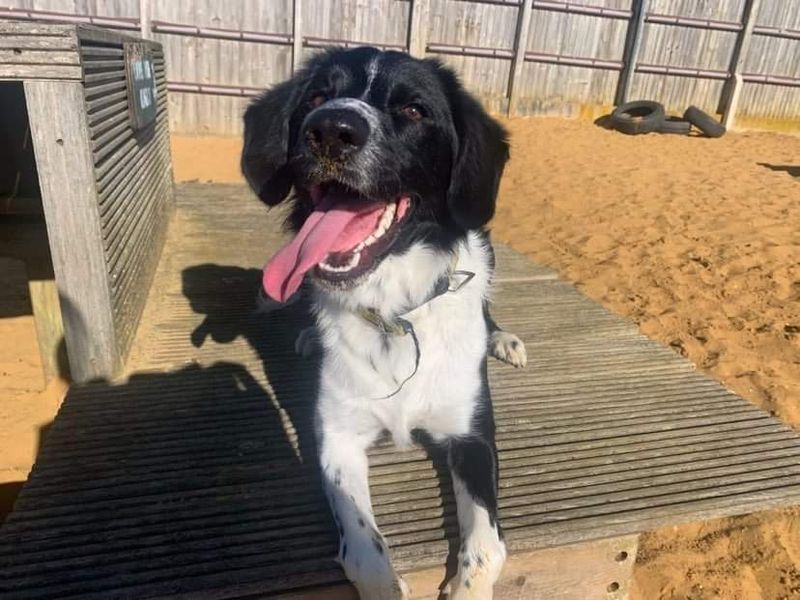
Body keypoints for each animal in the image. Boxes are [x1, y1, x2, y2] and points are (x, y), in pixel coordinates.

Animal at [241, 48, 528, 600]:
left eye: (414, 110)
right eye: (317, 96)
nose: (331, 129)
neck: (394, 315)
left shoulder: (472, 434)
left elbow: (487, 549)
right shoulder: (338, 436)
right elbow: (367, 554)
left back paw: (502, 337)